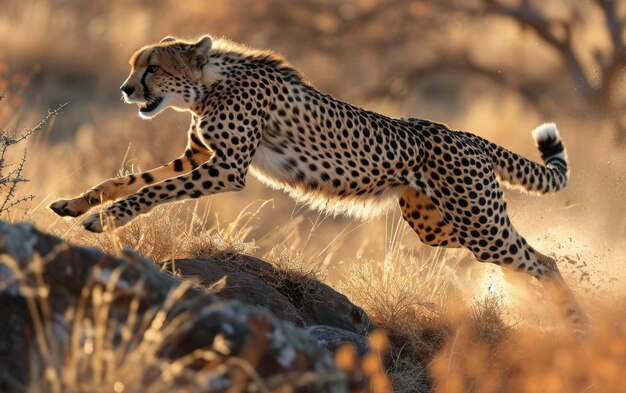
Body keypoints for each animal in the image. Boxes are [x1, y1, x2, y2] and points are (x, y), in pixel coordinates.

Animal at [50, 35, 584, 326]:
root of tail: (468, 135)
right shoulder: (199, 156)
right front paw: (78, 204)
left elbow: (153, 189)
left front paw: (107, 219)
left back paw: (574, 323)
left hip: (476, 223)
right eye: (134, 66)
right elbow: (134, 177)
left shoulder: (227, 168)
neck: (209, 83)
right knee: (526, 258)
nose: (125, 90)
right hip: (438, 226)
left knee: (544, 260)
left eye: (153, 67)